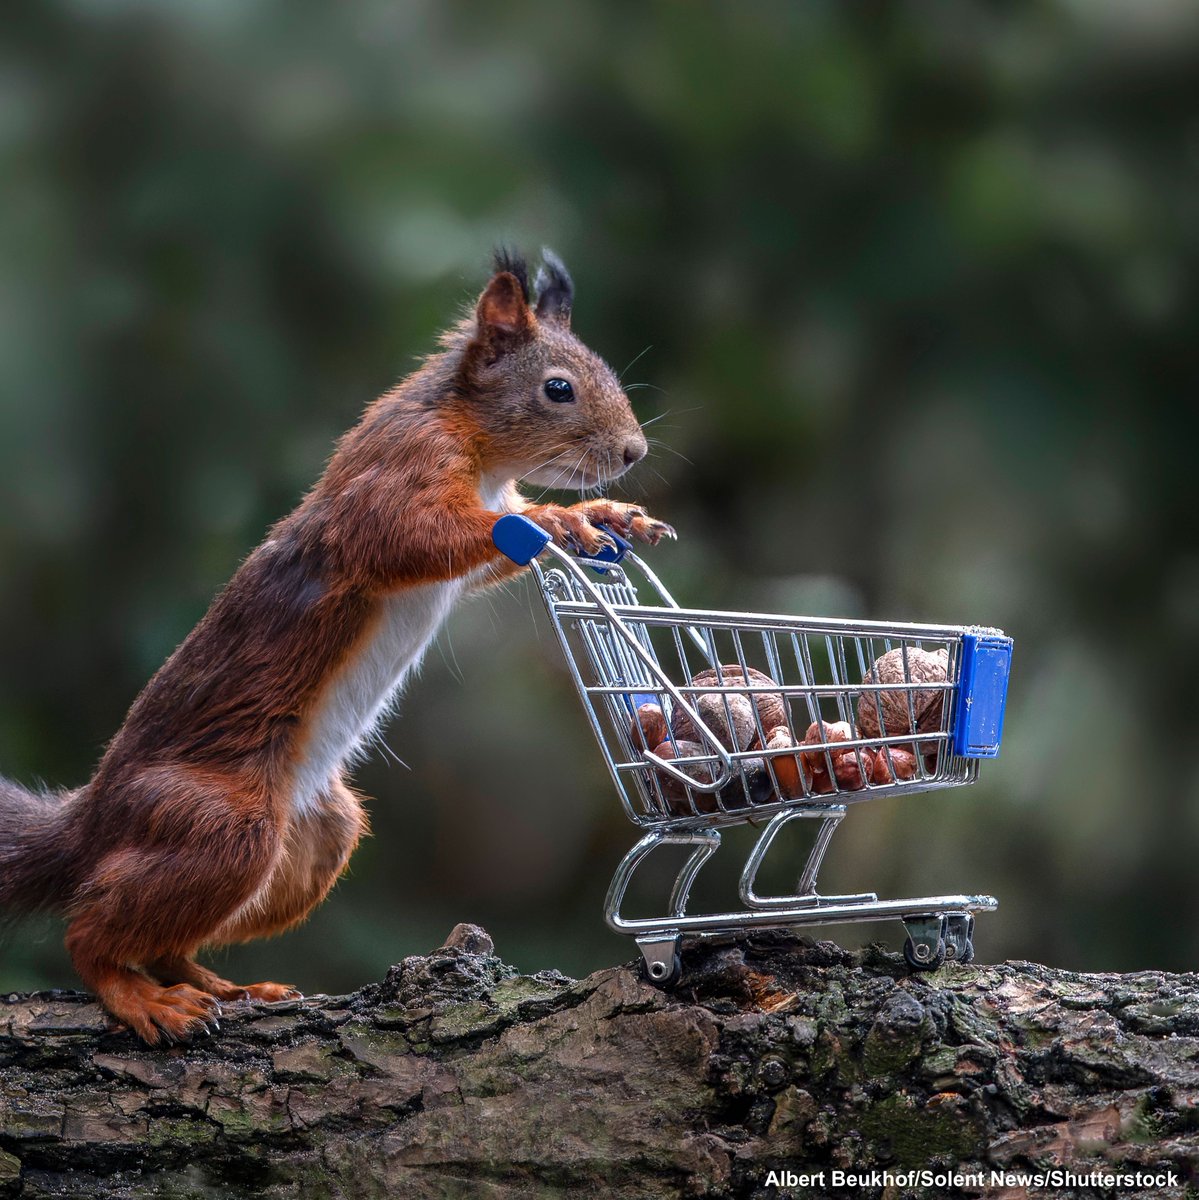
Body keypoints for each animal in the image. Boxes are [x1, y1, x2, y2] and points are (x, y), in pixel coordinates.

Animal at [0, 248, 673, 1044]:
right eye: (558, 388)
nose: (632, 452)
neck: (479, 450)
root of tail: (93, 822)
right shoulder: (391, 477)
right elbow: (413, 538)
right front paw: (553, 522)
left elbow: (481, 562)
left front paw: (602, 514)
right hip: (216, 823)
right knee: (89, 933)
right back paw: (140, 997)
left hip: (319, 835)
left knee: (165, 943)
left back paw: (226, 987)